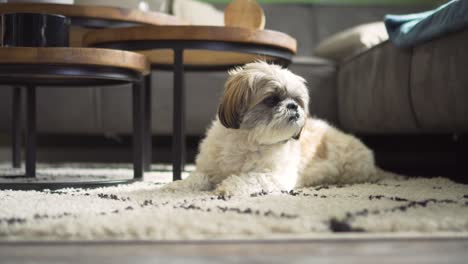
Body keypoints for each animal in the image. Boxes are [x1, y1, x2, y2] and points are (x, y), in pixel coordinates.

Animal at [163, 60, 382, 195]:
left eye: (297, 101)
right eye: (272, 99)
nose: (293, 107)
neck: (248, 139)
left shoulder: (275, 176)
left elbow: (248, 178)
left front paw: (227, 187)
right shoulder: (209, 168)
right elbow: (197, 177)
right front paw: (177, 185)